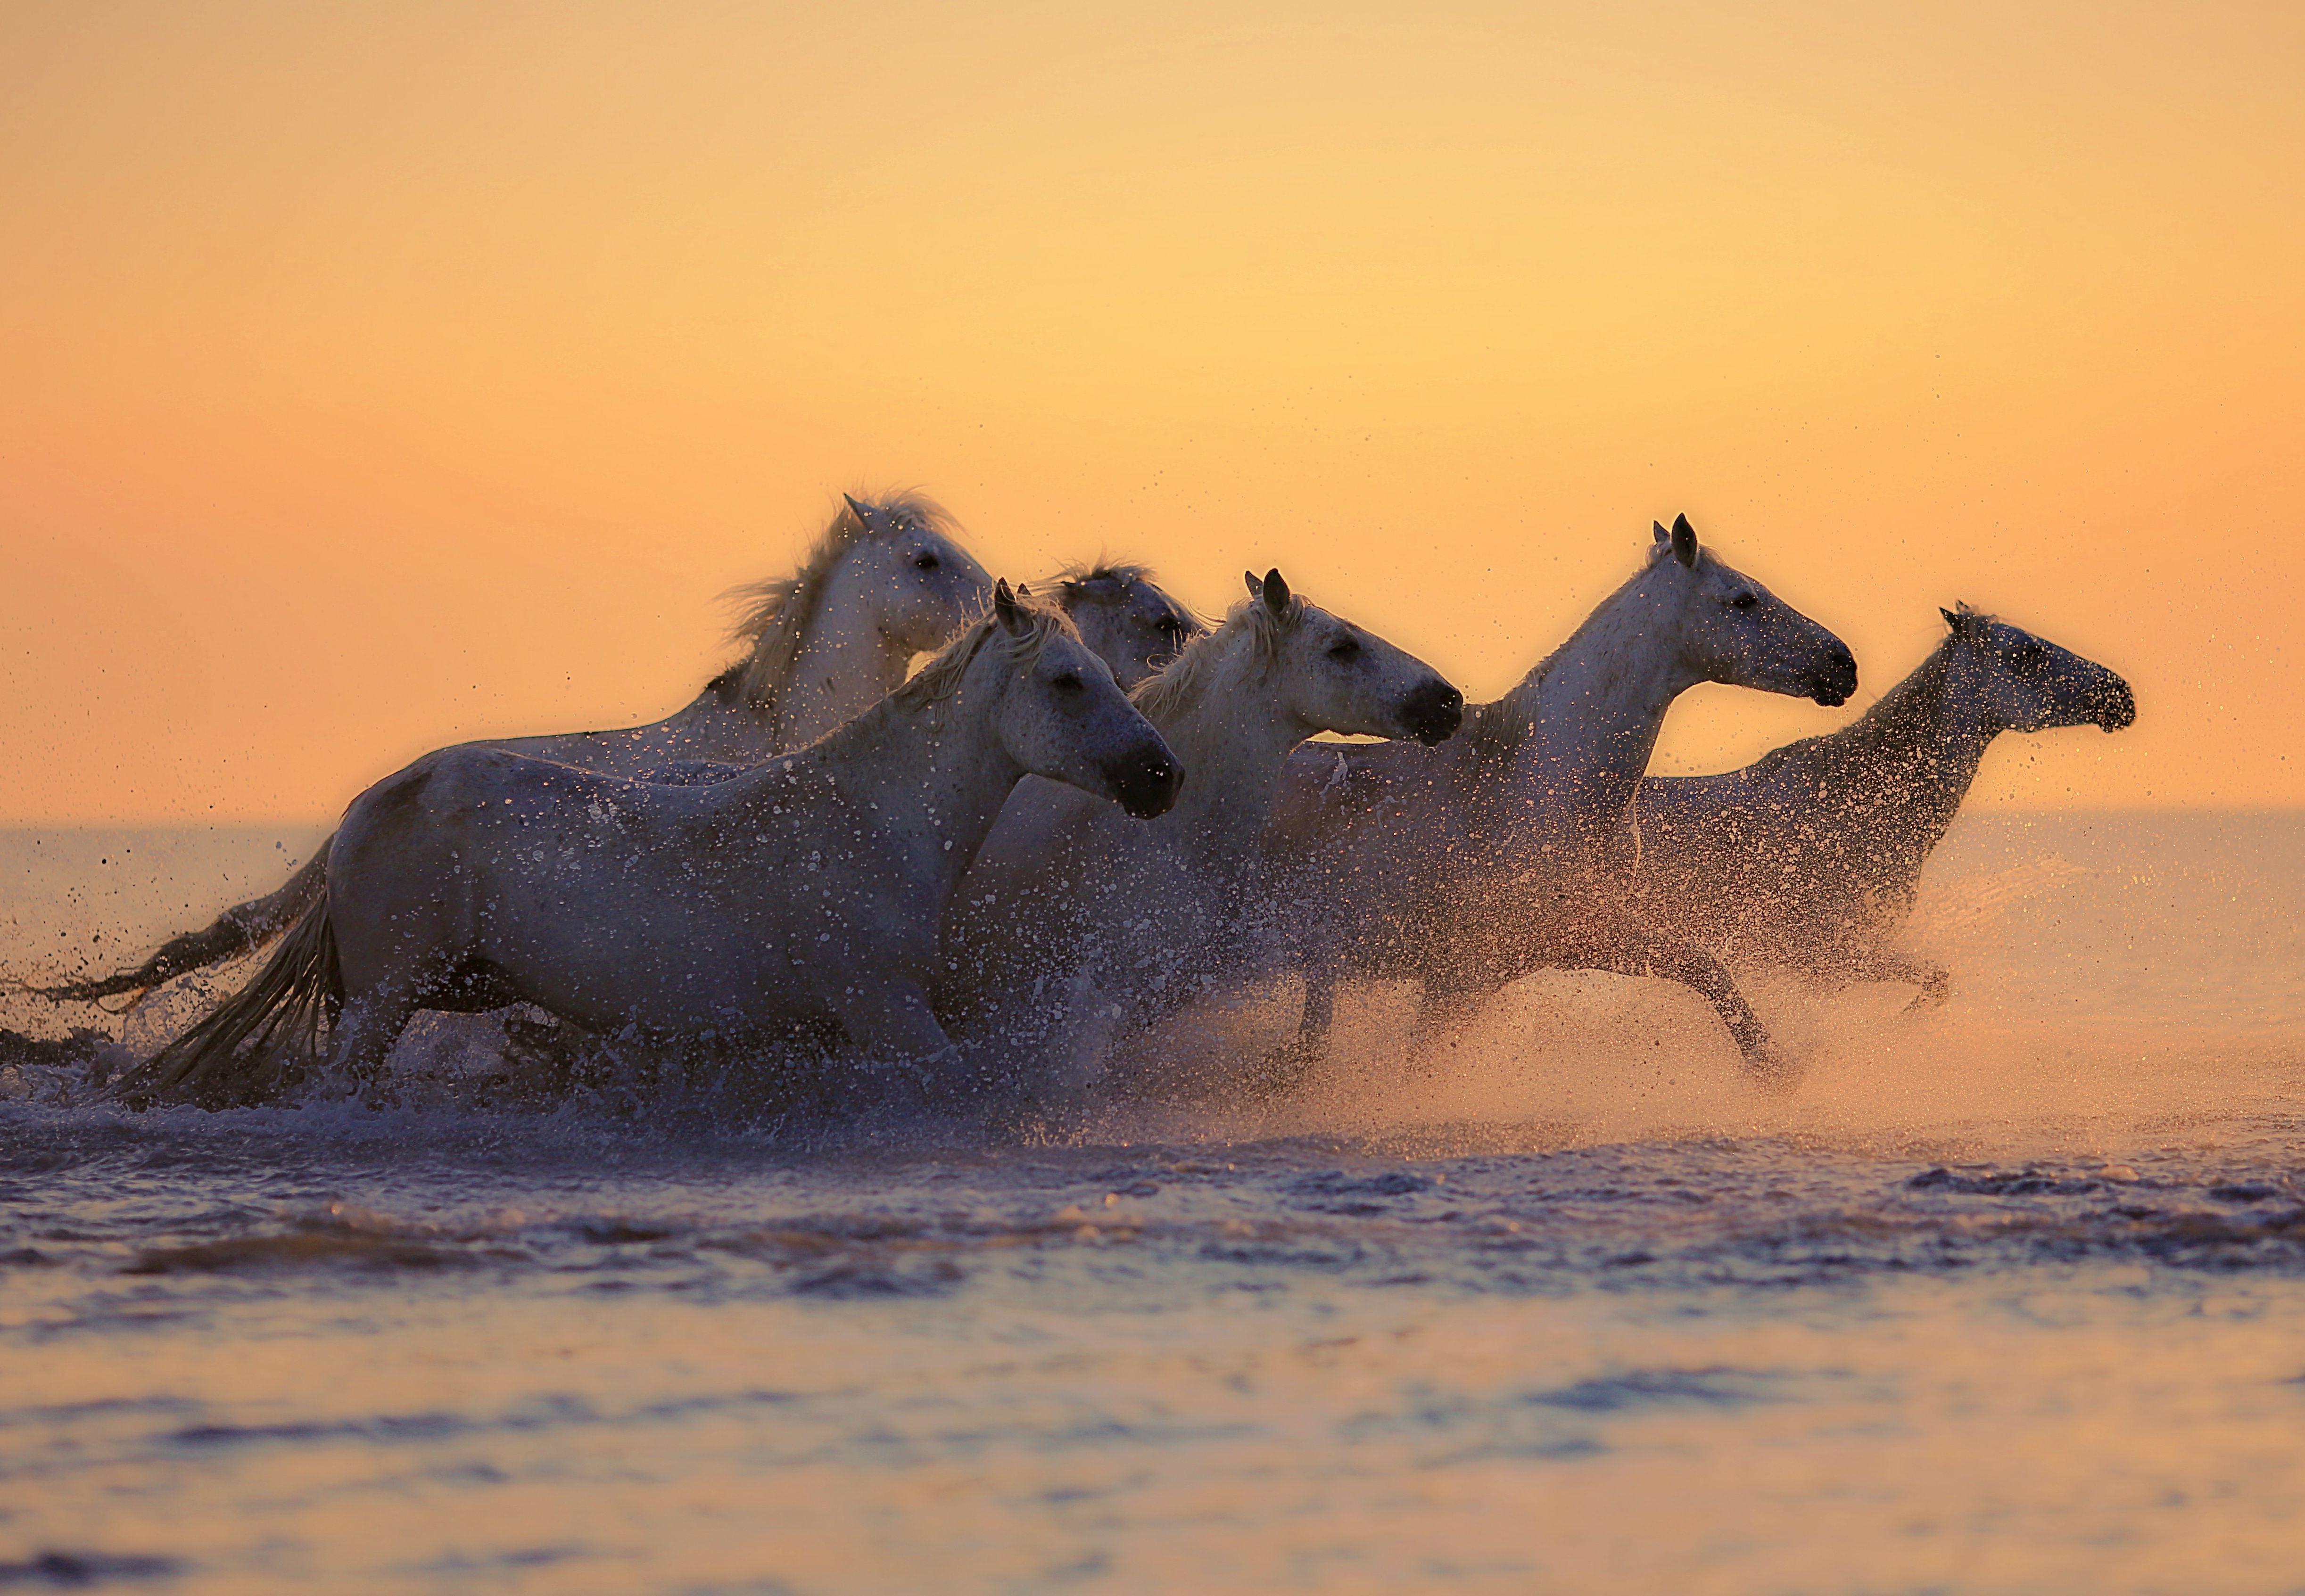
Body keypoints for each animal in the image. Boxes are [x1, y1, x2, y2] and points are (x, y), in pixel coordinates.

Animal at [112, 584, 1181, 1111]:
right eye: (1066, 681)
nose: (1160, 775)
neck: (865, 821)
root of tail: (369, 804)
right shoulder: (882, 1006)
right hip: (382, 1002)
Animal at [1262, 514, 1857, 1086]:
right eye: (1742, 598)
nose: (1842, 663)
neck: (1540, 784)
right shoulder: (1460, 973)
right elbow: (1420, 1066)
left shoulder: (1582, 938)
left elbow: (1702, 964)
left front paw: (1774, 1067)